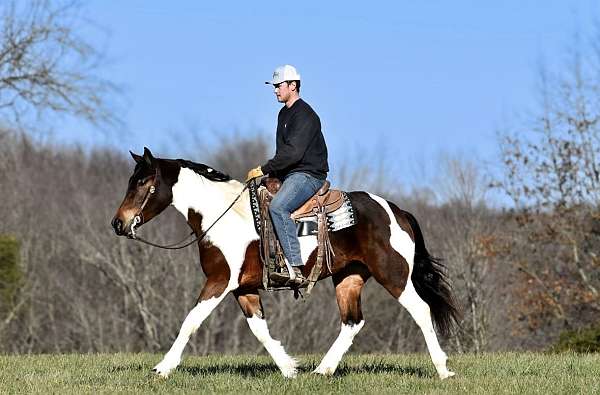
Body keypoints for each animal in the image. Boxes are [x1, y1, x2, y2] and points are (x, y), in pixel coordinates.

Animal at [112, 148, 460, 380]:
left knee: (421, 311)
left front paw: (163, 367)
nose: (118, 223)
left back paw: (443, 370)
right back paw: (322, 370)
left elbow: (191, 321)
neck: (221, 215)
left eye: (142, 183)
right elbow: (260, 330)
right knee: (352, 322)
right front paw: (289, 368)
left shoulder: (219, 281)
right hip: (349, 277)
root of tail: (397, 211)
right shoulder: (243, 289)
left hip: (394, 274)